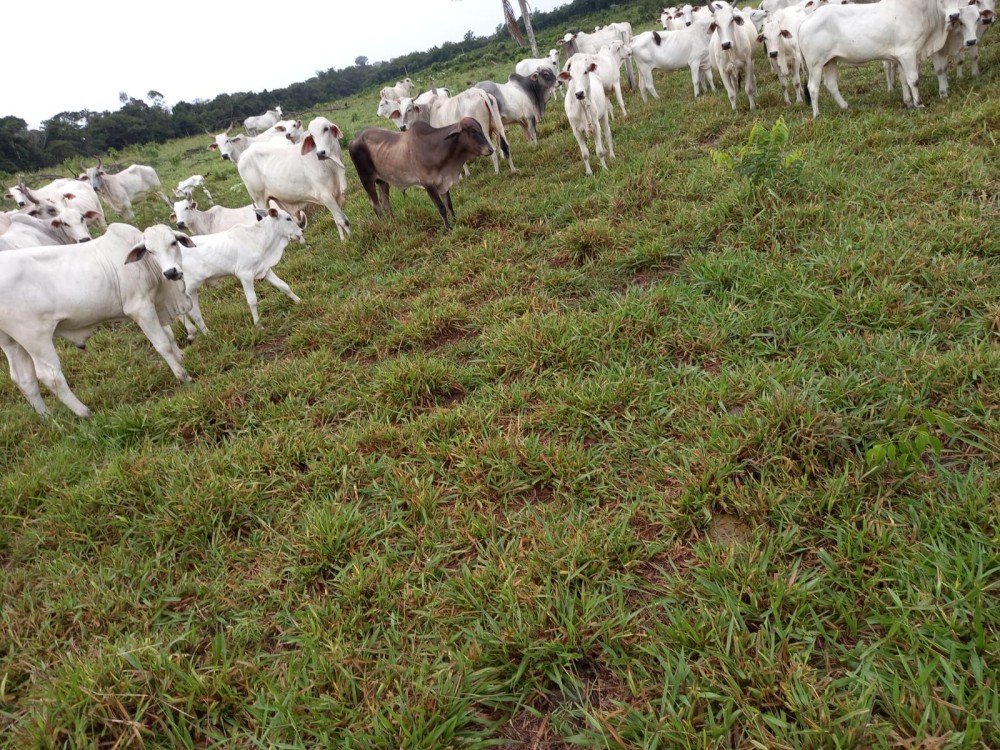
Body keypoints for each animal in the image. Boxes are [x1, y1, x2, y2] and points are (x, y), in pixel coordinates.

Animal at [0, 226, 193, 420]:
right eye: (150, 251)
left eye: (173, 243)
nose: (171, 272)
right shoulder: (140, 308)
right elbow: (162, 344)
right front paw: (182, 374)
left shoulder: (156, 306)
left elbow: (169, 335)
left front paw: (181, 356)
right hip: (35, 338)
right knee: (49, 375)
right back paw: (84, 412)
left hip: (12, 342)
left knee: (24, 379)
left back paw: (48, 418)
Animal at [180, 206, 304, 340]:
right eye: (288, 218)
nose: (301, 232)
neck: (259, 239)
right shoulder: (245, 274)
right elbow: (252, 300)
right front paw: (258, 325)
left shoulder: (264, 269)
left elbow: (283, 286)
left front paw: (299, 301)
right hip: (188, 288)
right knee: (191, 312)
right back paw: (204, 334)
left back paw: (197, 334)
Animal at [348, 114, 496, 231]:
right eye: (473, 131)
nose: (490, 149)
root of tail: (354, 137)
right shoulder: (428, 184)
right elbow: (441, 208)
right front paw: (448, 228)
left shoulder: (442, 182)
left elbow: (449, 204)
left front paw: (455, 220)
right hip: (366, 179)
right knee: (375, 205)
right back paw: (384, 225)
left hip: (383, 181)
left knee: (385, 202)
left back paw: (394, 223)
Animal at [796, 0, 960, 116]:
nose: (955, 16)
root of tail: (806, 20)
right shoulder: (908, 53)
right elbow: (913, 80)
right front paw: (919, 104)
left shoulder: (901, 57)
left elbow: (904, 80)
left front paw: (908, 102)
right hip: (815, 64)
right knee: (813, 87)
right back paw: (817, 115)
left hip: (830, 61)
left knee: (831, 85)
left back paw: (845, 107)